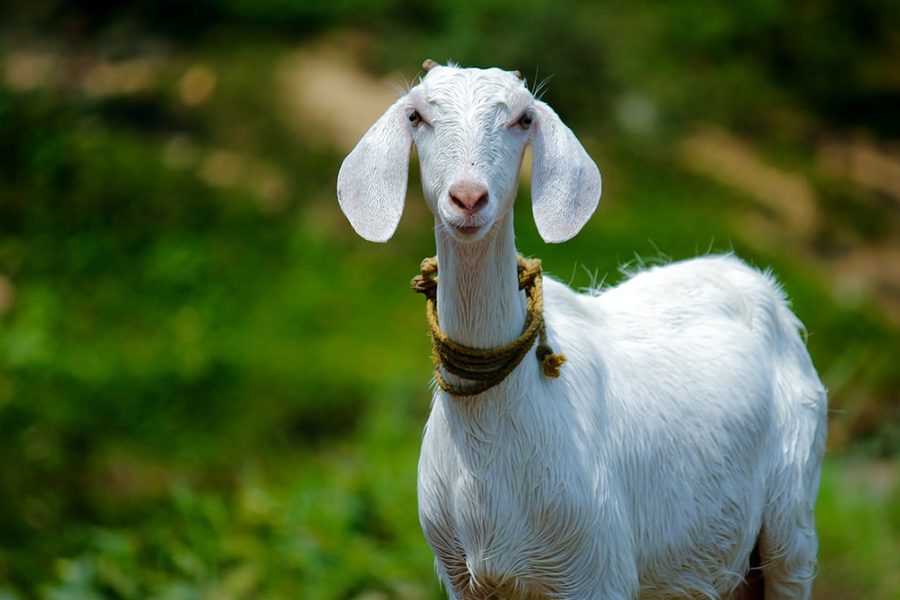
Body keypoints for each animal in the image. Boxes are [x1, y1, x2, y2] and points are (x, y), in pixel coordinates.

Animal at [337, 61, 827, 600]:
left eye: (524, 118)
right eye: (416, 115)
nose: (468, 198)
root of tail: (755, 280)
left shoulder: (598, 570)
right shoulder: (461, 578)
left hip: (793, 517)